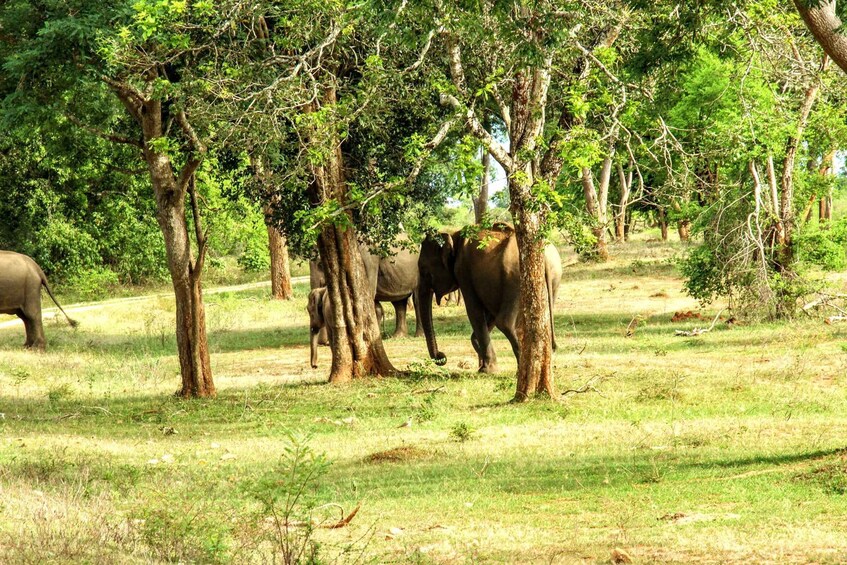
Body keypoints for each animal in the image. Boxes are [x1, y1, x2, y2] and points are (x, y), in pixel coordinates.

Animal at [416, 223, 562, 373]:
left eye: (424, 270)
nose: (442, 355)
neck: (454, 235)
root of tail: (543, 255)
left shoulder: (463, 271)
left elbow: (474, 311)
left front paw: (486, 370)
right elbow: (489, 314)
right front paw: (482, 361)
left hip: (514, 277)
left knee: (504, 321)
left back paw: (522, 367)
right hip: (553, 278)